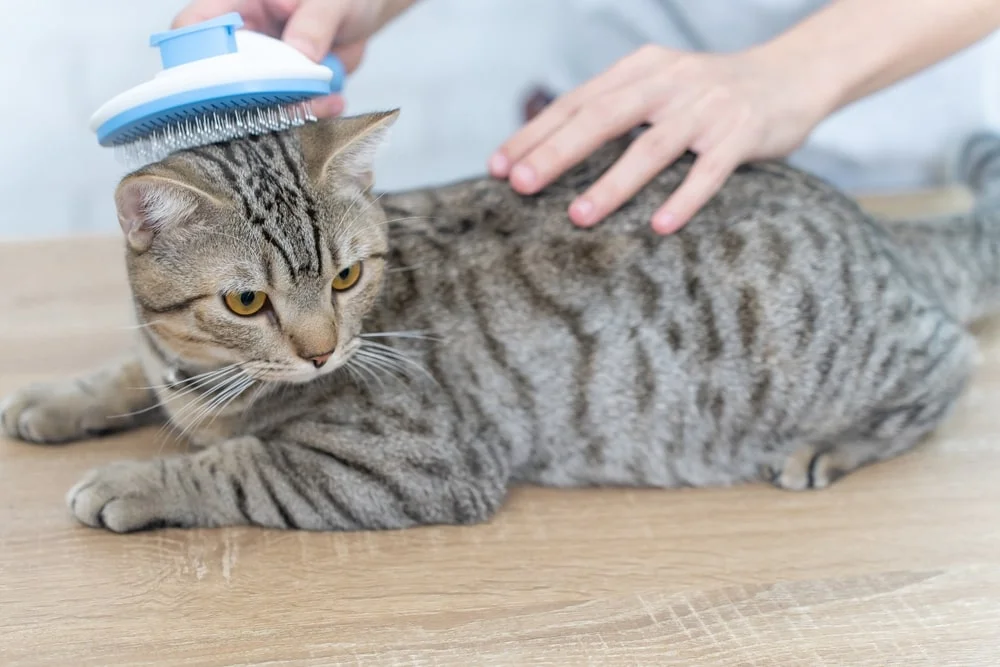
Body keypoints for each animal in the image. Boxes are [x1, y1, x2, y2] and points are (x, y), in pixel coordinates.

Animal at [1, 109, 1000, 536]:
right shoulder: (172, 365)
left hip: (864, 354)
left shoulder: (408, 462)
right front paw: (57, 397)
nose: (323, 351)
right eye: (247, 301)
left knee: (945, 359)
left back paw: (833, 444)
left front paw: (131, 480)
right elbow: (125, 371)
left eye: (348, 276)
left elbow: (237, 465)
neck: (206, 380)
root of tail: (876, 227)